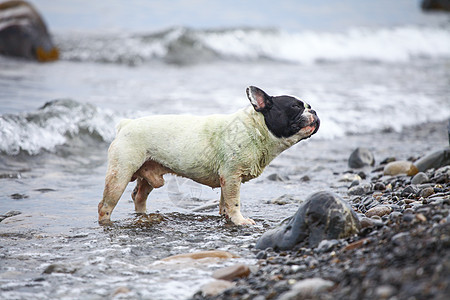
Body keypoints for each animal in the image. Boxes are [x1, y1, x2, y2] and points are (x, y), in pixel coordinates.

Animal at [97, 86, 320, 225]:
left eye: (308, 106)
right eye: (296, 107)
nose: (315, 111)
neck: (256, 128)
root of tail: (125, 124)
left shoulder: (227, 178)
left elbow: (225, 202)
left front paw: (226, 217)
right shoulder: (231, 176)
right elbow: (234, 201)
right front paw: (240, 221)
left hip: (148, 172)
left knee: (139, 195)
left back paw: (143, 215)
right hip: (120, 174)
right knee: (106, 204)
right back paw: (107, 221)